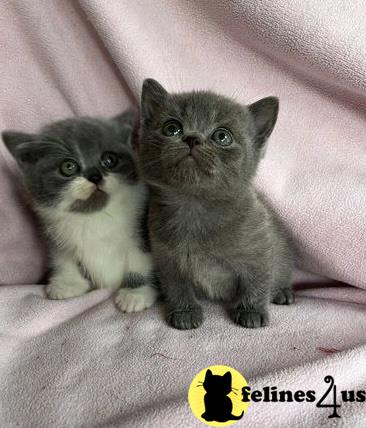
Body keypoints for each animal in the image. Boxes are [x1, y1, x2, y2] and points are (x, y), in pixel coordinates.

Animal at [2, 109, 157, 310]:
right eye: (68, 167)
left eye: (109, 160)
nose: (95, 175)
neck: (95, 217)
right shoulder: (58, 237)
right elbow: (64, 258)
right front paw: (68, 283)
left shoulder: (141, 231)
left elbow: (140, 261)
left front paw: (136, 292)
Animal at [138, 78, 294, 330]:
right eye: (172, 128)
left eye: (222, 136)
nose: (192, 138)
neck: (194, 206)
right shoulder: (166, 258)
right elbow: (177, 286)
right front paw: (185, 312)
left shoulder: (259, 251)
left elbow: (257, 282)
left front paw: (251, 312)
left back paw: (282, 293)